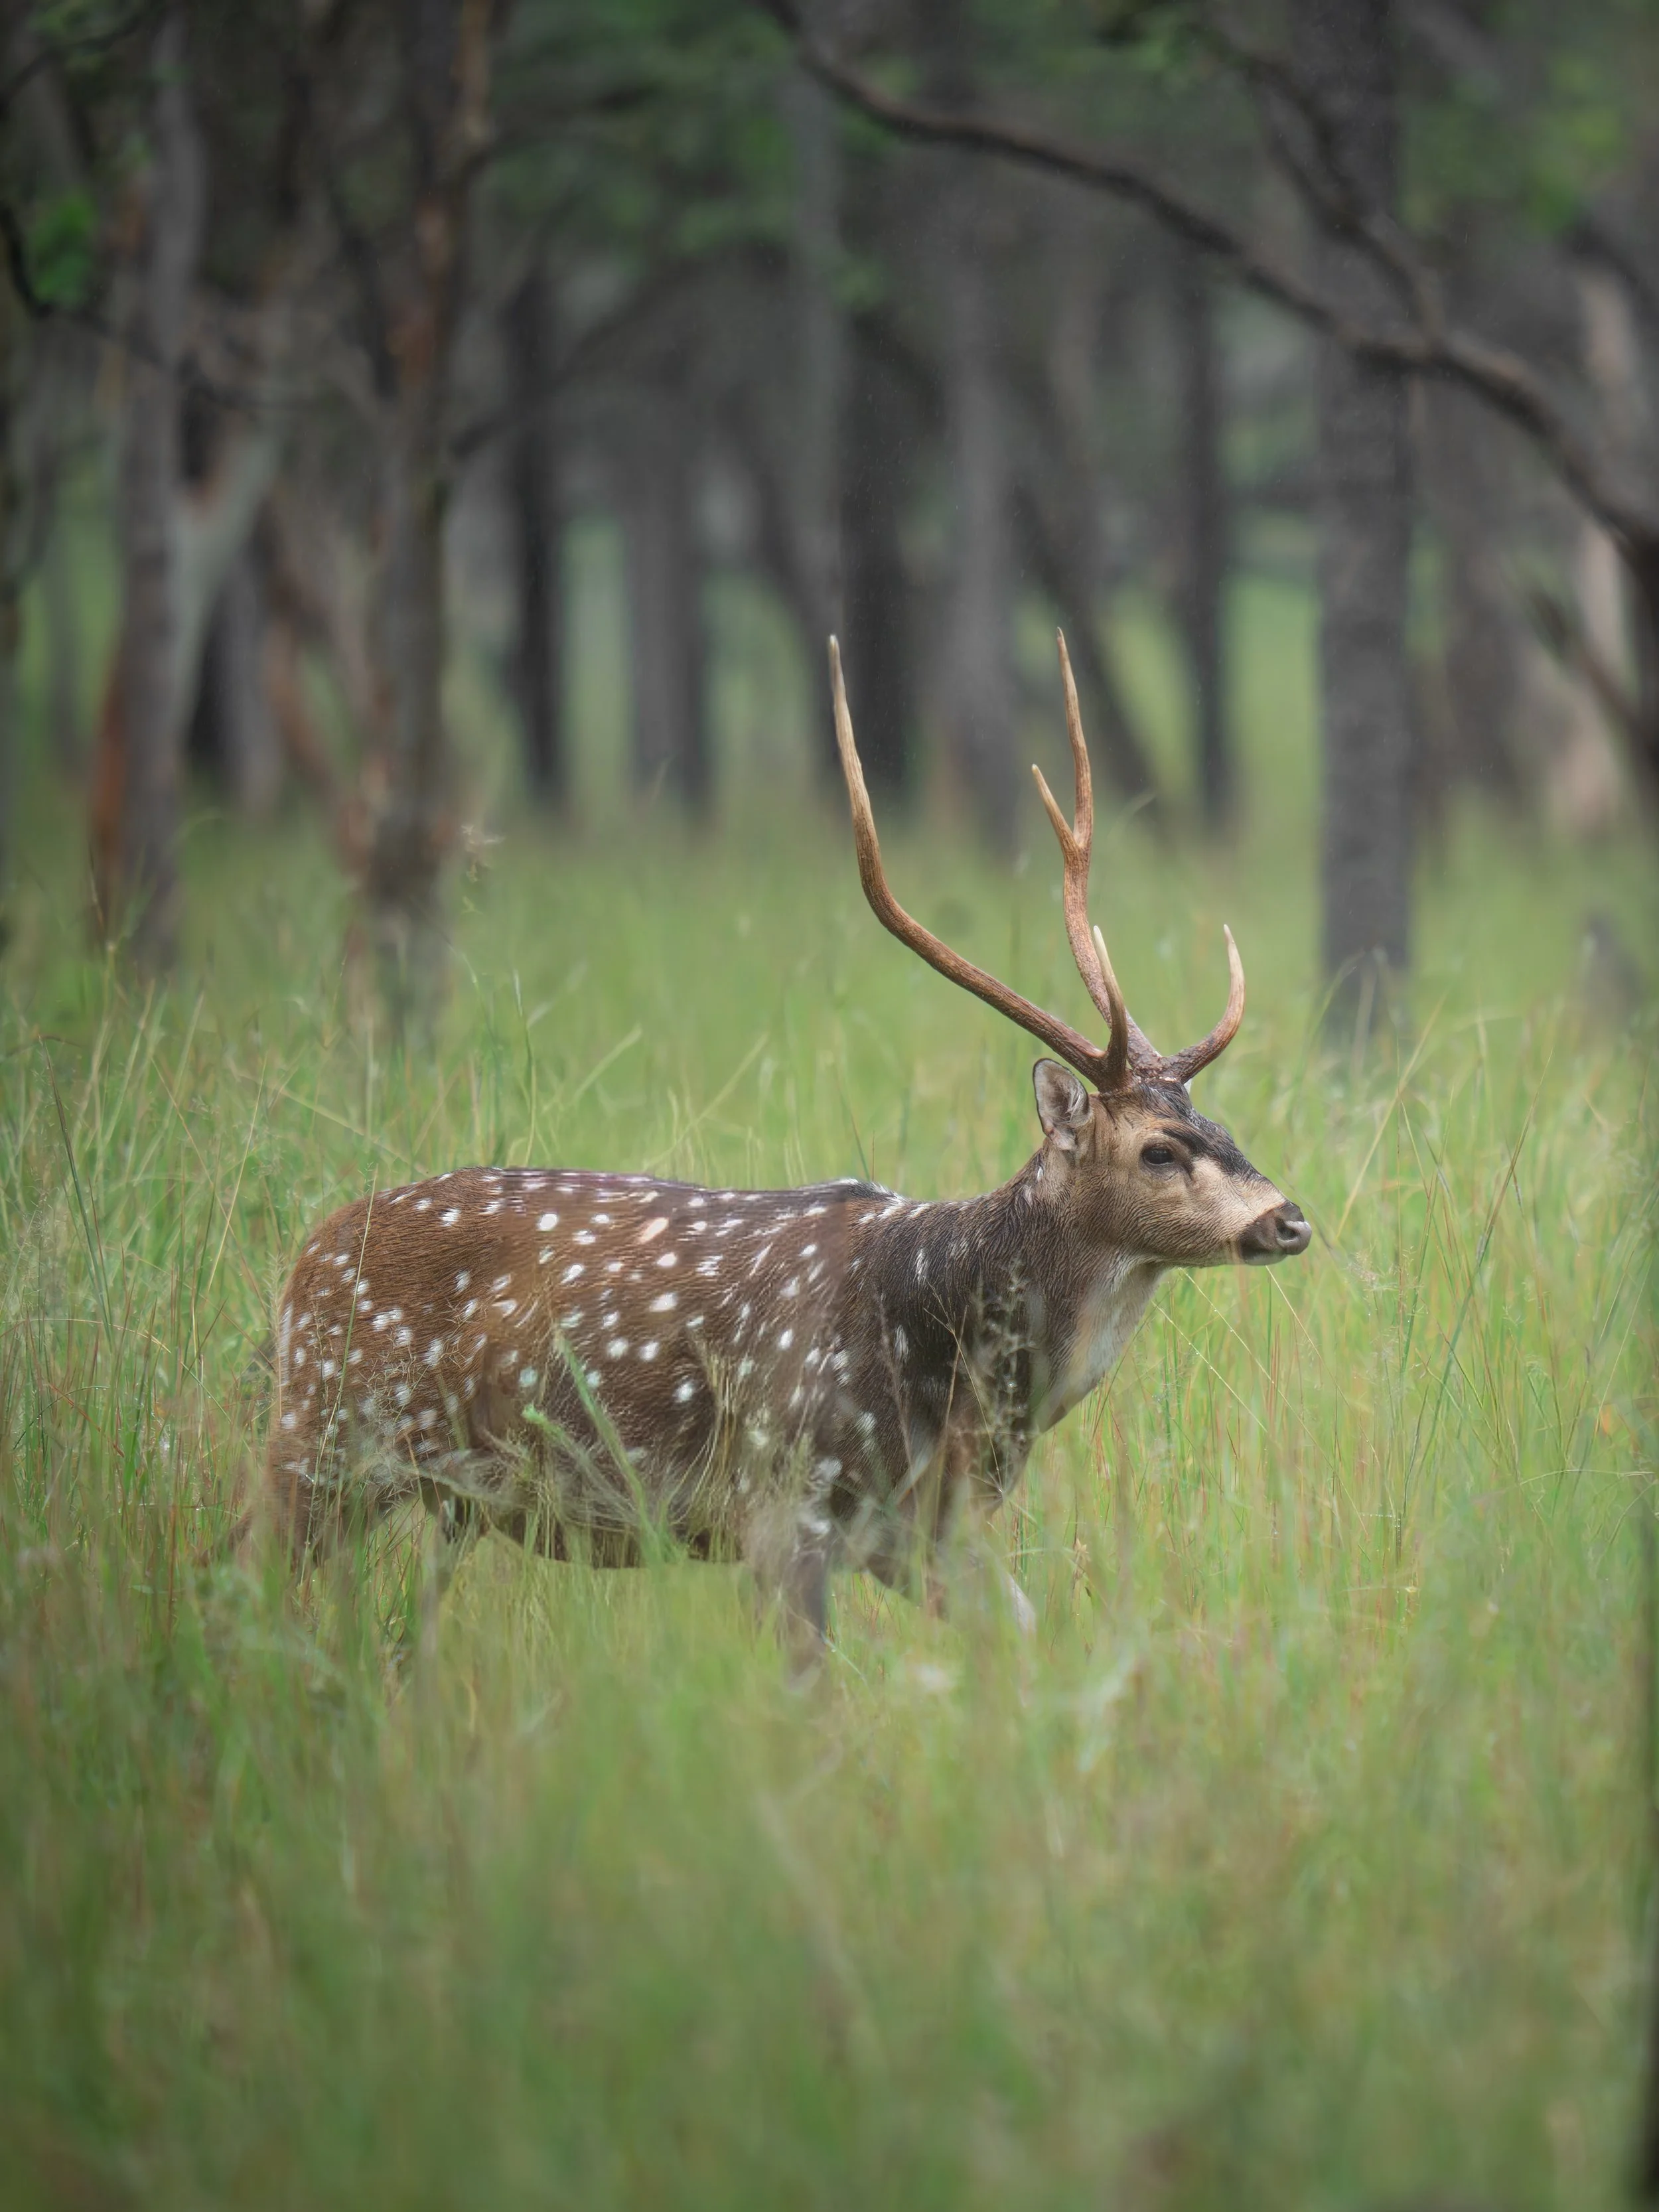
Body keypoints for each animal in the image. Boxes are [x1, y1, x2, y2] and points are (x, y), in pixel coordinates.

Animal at [257, 632, 1310, 1660]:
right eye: (1159, 1150)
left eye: (1221, 1126)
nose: (1289, 1219)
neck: (952, 1371)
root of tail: (303, 1257)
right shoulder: (775, 1499)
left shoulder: (927, 1527)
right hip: (321, 1440)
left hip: (435, 1495)